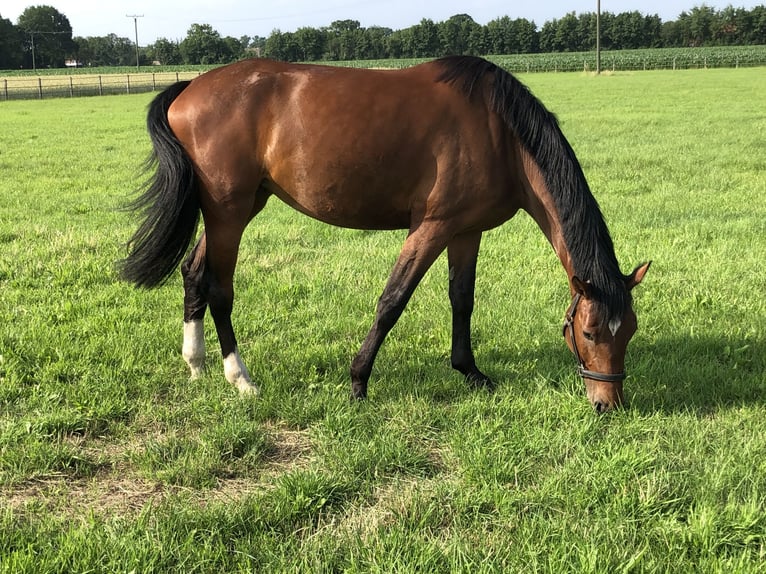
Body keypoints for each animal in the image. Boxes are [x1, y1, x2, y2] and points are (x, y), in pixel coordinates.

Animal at [119, 56, 650, 413]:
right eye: (588, 331)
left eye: (630, 331)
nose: (608, 403)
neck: (500, 131)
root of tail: (190, 87)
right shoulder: (431, 228)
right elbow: (393, 301)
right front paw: (358, 381)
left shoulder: (466, 231)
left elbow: (462, 299)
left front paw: (470, 371)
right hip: (228, 213)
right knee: (219, 288)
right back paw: (240, 377)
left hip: (238, 208)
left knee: (193, 273)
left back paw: (196, 363)